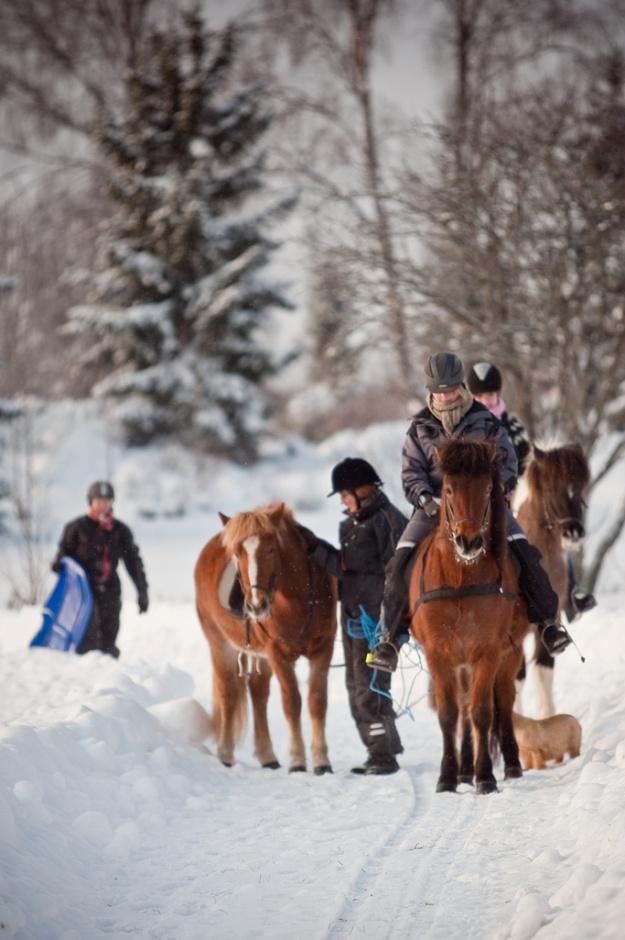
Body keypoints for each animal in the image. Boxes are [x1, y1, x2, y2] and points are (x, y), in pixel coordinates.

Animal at [194, 504, 336, 776]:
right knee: (228, 694)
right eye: (237, 553)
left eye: (270, 549)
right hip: (220, 645)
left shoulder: (323, 648)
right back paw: (226, 754)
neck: (297, 600)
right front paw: (297, 761)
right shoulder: (277, 653)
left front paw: (322, 761)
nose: (255, 605)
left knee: (258, 694)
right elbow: (291, 702)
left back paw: (267, 756)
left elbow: (317, 701)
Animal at [410, 440, 532, 792]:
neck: (461, 579)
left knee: (502, 700)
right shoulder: (439, 653)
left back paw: (511, 764)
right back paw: (465, 769)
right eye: (448, 489)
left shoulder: (488, 652)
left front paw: (486, 776)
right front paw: (448, 776)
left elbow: (482, 712)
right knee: (464, 708)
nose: (469, 541)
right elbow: (450, 713)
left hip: (509, 652)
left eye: (489, 487)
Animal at [512, 440, 588, 712]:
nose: (573, 532)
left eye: (580, 488)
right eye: (551, 489)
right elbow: (516, 680)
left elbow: (544, 670)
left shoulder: (550, 620)